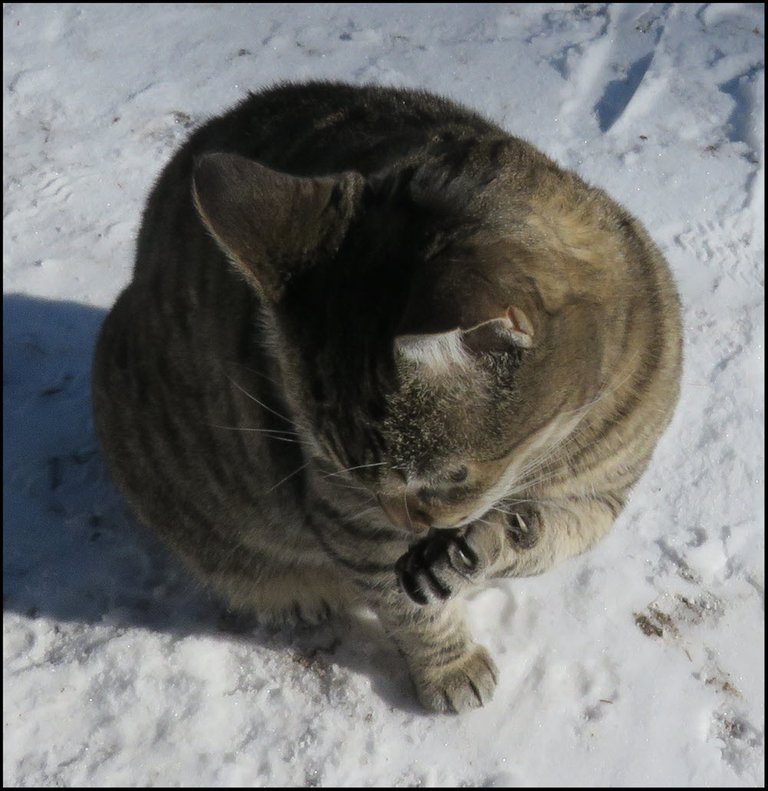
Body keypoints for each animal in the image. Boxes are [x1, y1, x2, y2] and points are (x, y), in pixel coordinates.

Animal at [91, 79, 684, 712]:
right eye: (347, 471)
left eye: (450, 477)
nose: (406, 519)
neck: (553, 448)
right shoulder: (347, 517)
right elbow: (407, 609)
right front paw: (450, 668)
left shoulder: (598, 500)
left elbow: (535, 537)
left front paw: (476, 552)